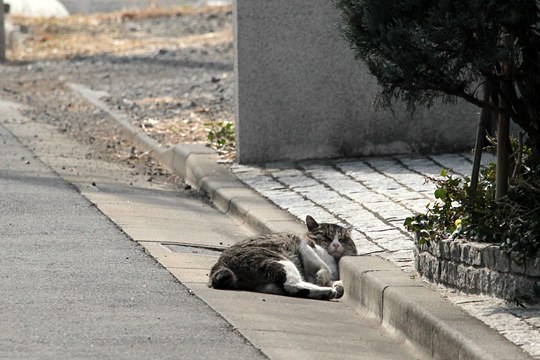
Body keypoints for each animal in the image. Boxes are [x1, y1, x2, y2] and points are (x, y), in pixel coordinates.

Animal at [209, 215, 356, 300]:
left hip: (268, 281)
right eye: (327, 237)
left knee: (291, 288)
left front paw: (336, 284)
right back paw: (326, 291)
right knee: (291, 285)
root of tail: (220, 264)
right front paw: (322, 278)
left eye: (342, 239)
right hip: (278, 260)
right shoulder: (304, 245)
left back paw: (326, 292)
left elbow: (334, 280)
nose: (336, 244)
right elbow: (324, 268)